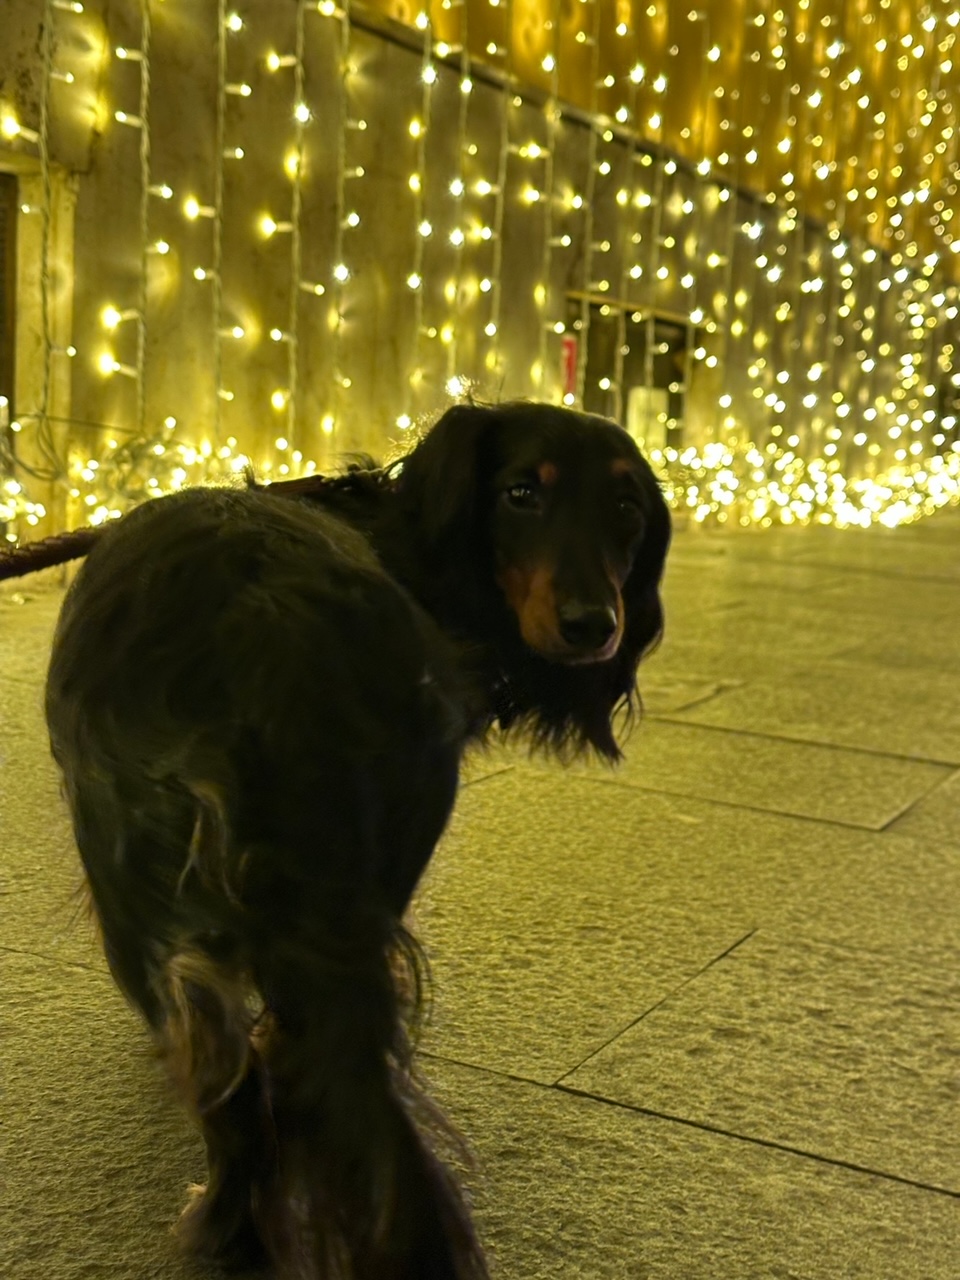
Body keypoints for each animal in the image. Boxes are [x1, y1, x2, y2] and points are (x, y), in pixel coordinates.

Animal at [45, 401, 670, 1280]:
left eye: (626, 509)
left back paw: (223, 1224)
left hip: (146, 906)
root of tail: (273, 639)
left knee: (241, 1089)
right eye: (521, 493)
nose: (594, 627)